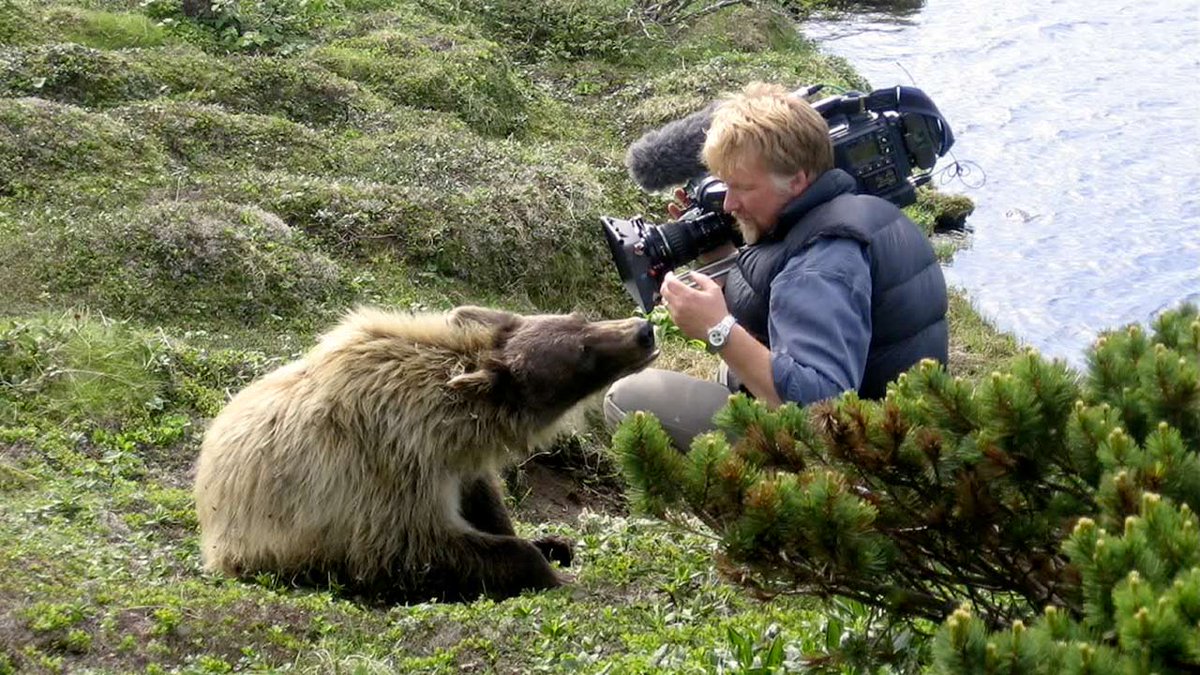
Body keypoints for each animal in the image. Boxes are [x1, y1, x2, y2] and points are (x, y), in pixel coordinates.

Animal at [193, 305, 657, 602]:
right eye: (582, 355)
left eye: (580, 319)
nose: (643, 330)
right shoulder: (392, 471)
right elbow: (417, 547)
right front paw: (543, 567)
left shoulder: (454, 465)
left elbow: (484, 500)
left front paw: (549, 542)